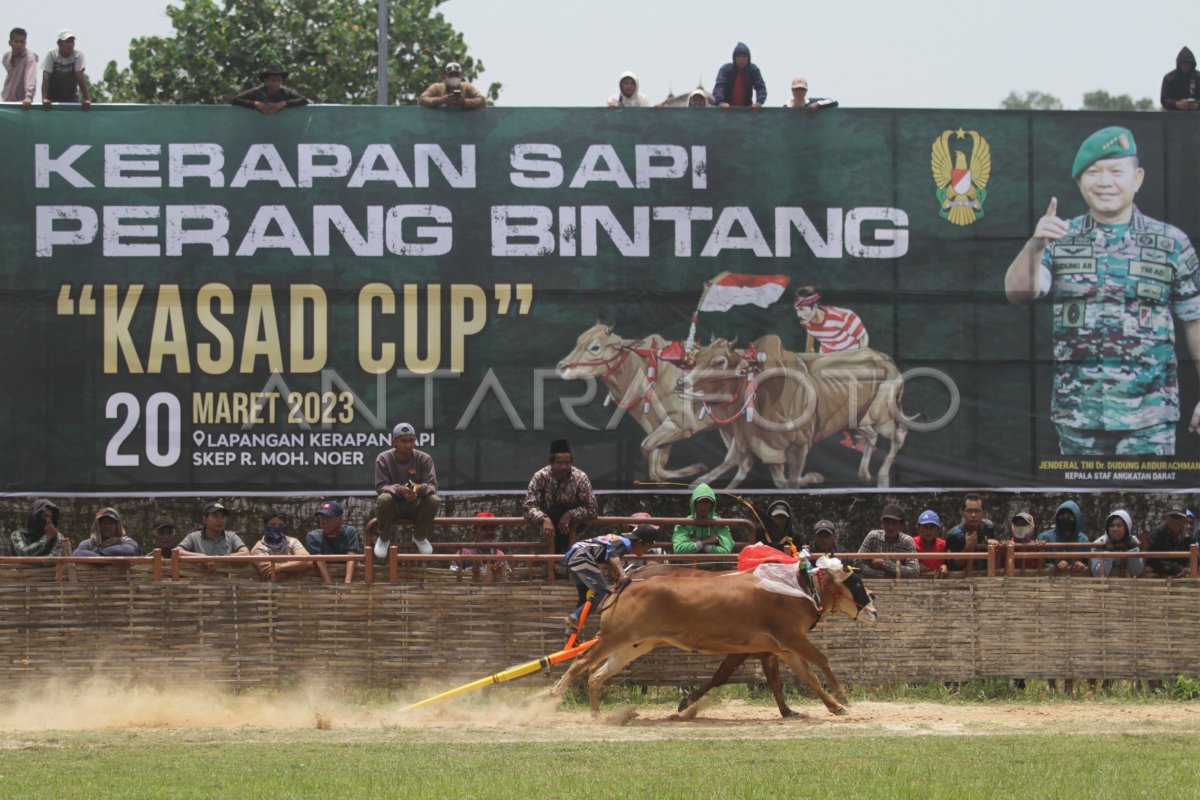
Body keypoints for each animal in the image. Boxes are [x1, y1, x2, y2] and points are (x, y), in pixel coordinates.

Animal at [549, 561, 878, 714]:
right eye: (856, 583)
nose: (874, 609)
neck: (796, 585)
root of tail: (627, 581)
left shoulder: (782, 648)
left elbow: (807, 677)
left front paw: (833, 705)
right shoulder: (792, 639)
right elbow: (822, 661)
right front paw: (841, 695)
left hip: (634, 644)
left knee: (596, 674)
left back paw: (597, 714)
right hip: (613, 637)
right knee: (580, 663)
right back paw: (551, 698)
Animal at [676, 333, 907, 484]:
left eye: (719, 362)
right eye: (697, 358)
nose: (681, 383)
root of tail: (883, 357)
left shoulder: (799, 445)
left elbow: (791, 483)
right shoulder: (766, 449)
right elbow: (778, 481)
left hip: (884, 414)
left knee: (898, 436)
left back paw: (883, 477)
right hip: (857, 420)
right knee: (872, 436)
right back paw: (864, 474)